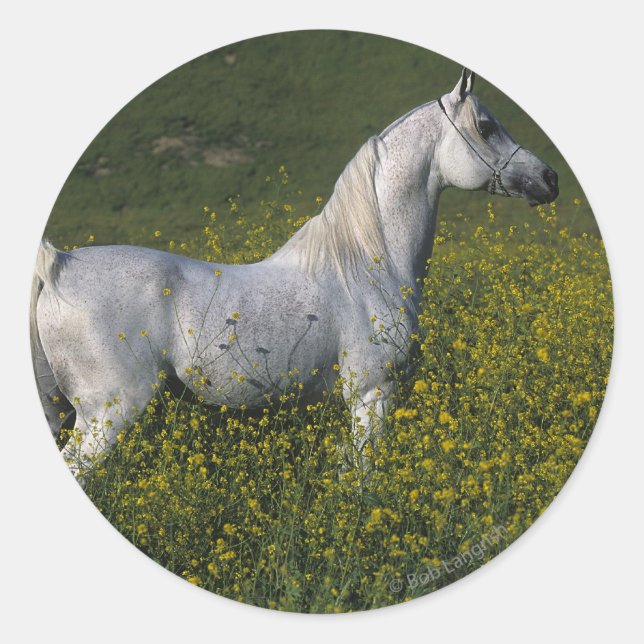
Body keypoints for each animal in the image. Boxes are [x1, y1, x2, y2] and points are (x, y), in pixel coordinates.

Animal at [31, 70, 558, 480]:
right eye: (486, 127)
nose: (549, 179)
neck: (369, 264)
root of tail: (59, 266)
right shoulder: (372, 393)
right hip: (109, 414)